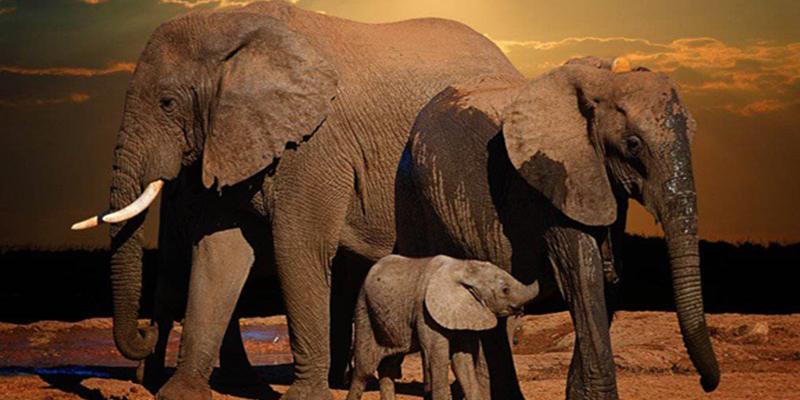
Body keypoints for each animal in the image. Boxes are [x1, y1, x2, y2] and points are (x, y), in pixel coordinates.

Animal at [346, 255, 538, 400]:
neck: (464, 268)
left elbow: (462, 360)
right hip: (364, 311)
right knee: (363, 370)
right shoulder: (425, 311)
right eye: (505, 290)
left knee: (389, 365)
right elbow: (437, 356)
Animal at [395, 57, 720, 400]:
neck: (602, 83)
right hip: (412, 195)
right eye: (633, 145)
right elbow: (582, 274)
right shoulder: (546, 180)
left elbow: (609, 273)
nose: (705, 384)